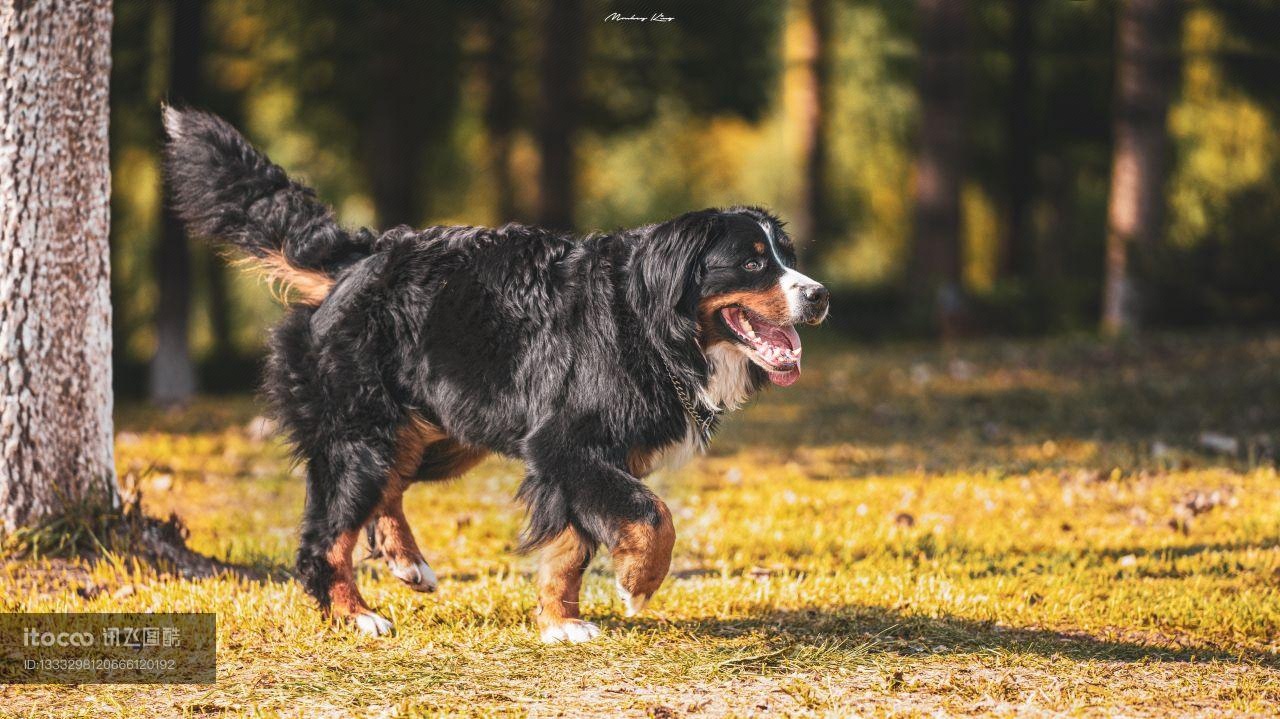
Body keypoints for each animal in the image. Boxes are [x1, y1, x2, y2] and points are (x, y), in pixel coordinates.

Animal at [162, 104, 829, 637]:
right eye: (752, 262)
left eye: (785, 257)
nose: (820, 295)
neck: (648, 322)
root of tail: (360, 255)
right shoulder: (565, 444)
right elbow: (651, 514)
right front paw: (638, 584)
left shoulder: (573, 462)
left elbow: (569, 551)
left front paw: (562, 622)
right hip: (361, 430)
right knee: (326, 537)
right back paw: (357, 614)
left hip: (442, 431)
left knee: (388, 490)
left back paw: (407, 562)